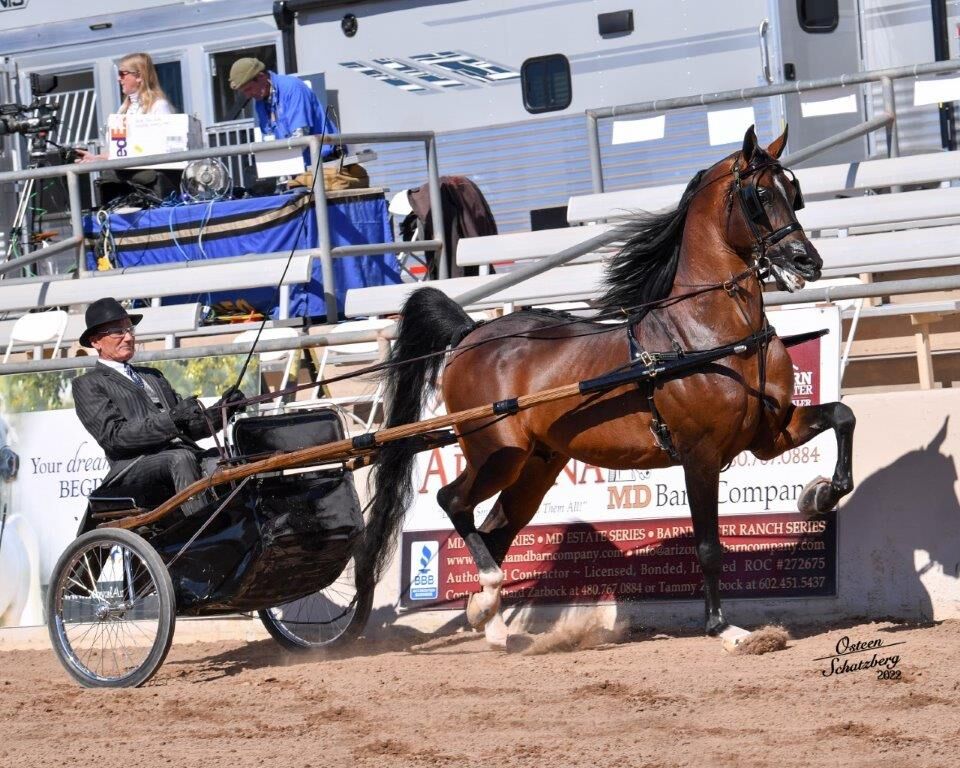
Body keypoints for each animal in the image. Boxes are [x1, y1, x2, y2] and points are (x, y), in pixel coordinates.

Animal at [358, 127, 856, 648]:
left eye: (793, 193)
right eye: (759, 196)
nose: (807, 260)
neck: (713, 334)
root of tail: (472, 332)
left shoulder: (768, 434)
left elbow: (843, 415)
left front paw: (821, 496)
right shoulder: (700, 454)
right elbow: (708, 546)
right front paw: (725, 628)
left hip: (535, 466)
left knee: (495, 526)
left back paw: (489, 619)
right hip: (495, 455)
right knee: (452, 501)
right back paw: (489, 596)